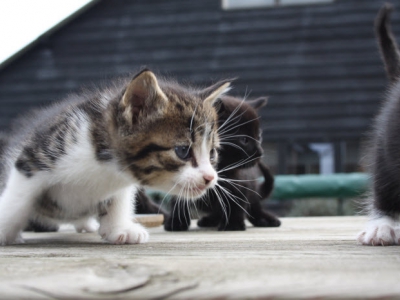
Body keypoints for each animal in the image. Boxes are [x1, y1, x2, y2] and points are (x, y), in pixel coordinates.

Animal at [0, 70, 231, 246]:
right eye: (183, 150)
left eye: (212, 153)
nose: (210, 178)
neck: (105, 168)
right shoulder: (34, 156)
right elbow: (18, 198)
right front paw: (4, 230)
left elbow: (119, 200)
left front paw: (119, 228)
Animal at [164, 95, 280, 231]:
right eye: (244, 140)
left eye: (259, 136)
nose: (260, 153)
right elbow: (178, 199)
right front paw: (176, 222)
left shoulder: (241, 181)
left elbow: (237, 202)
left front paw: (233, 224)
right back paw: (210, 220)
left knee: (254, 206)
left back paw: (264, 218)